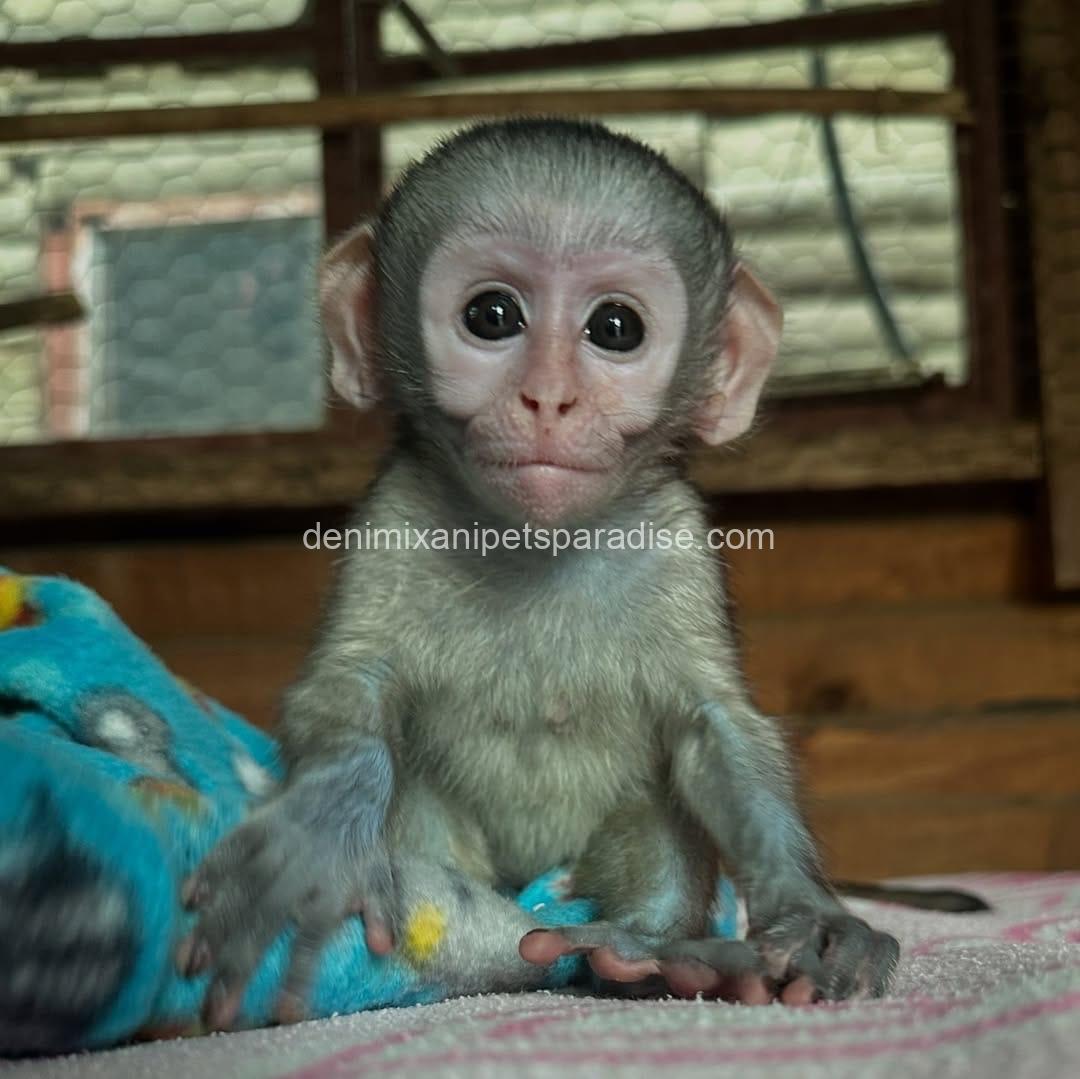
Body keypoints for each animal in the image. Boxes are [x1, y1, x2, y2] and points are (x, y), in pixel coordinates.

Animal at [176, 117, 901, 1030]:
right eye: (492, 315)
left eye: (615, 327)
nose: (548, 398)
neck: (534, 548)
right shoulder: (392, 518)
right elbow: (345, 690)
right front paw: (321, 828)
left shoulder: (680, 543)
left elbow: (717, 733)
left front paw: (812, 917)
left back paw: (655, 952)